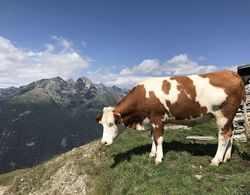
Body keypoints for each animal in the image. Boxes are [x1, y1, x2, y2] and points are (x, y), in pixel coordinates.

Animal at [95, 70, 250, 166]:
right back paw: (226, 157)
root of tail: (231, 72)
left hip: (223, 115)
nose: (103, 142)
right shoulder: (151, 121)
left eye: (111, 123)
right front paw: (152, 154)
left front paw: (158, 158)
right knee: (232, 133)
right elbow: (153, 138)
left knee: (224, 136)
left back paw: (216, 160)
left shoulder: (158, 119)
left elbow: (158, 139)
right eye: (101, 124)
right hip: (230, 117)